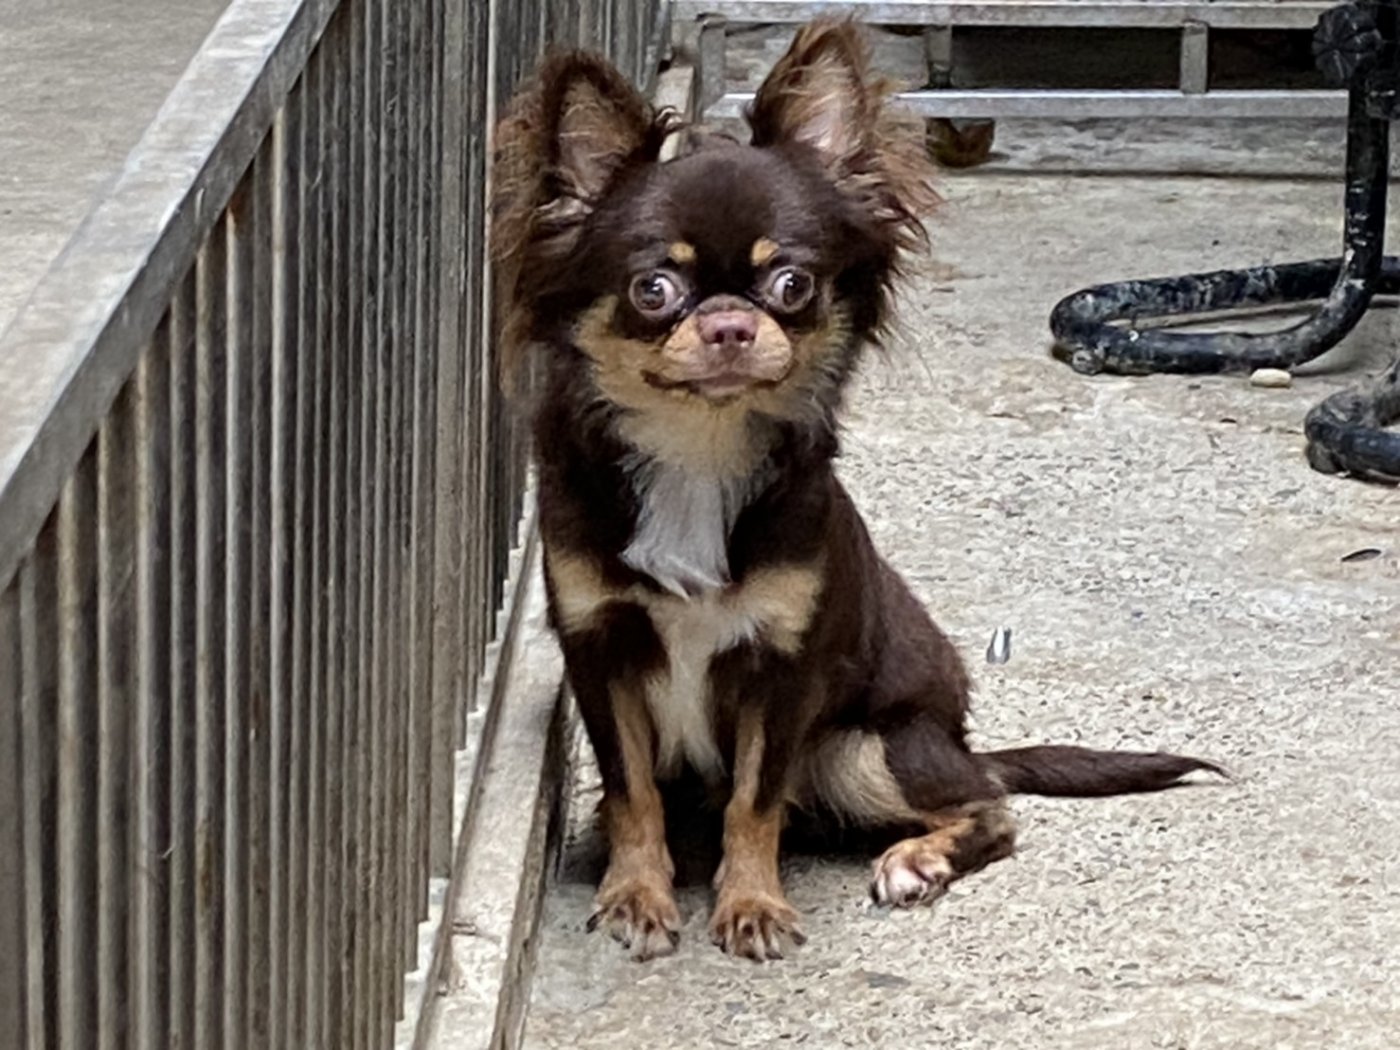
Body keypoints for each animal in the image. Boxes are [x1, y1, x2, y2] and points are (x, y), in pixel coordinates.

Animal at [492, 20, 1223, 962]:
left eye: (792, 284)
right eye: (653, 289)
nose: (729, 324)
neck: (696, 453)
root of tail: (961, 743)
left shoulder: (784, 671)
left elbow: (754, 799)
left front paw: (752, 905)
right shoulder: (601, 652)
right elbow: (632, 790)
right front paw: (638, 894)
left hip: (863, 749)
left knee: (990, 806)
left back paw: (919, 860)